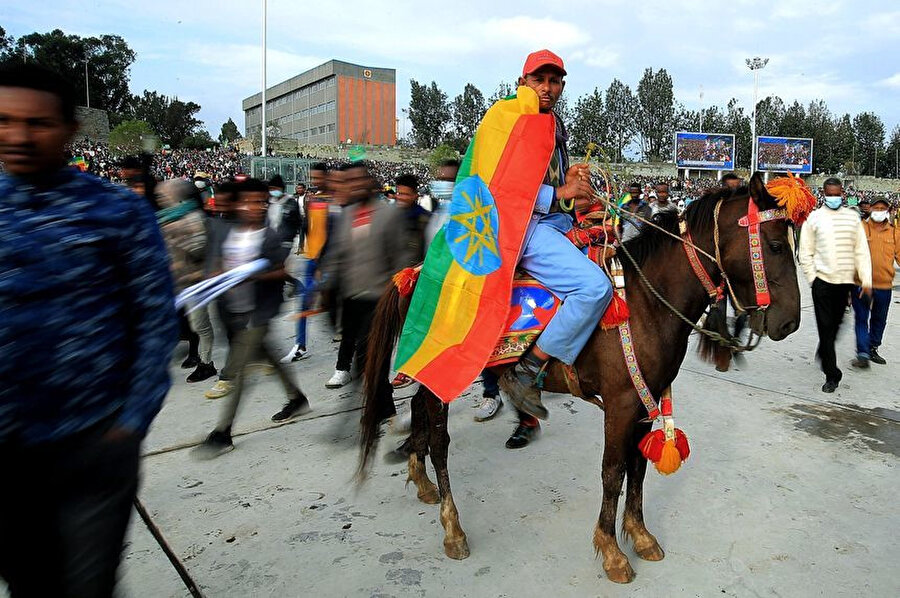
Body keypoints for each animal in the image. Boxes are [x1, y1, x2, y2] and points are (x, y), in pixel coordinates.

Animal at [358, 175, 800, 584]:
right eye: (776, 246)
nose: (790, 323)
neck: (646, 303)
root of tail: (413, 274)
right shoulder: (621, 402)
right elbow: (613, 471)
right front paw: (613, 553)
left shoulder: (646, 400)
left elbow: (638, 466)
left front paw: (640, 536)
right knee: (440, 442)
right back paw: (453, 528)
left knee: (419, 412)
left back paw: (421, 481)